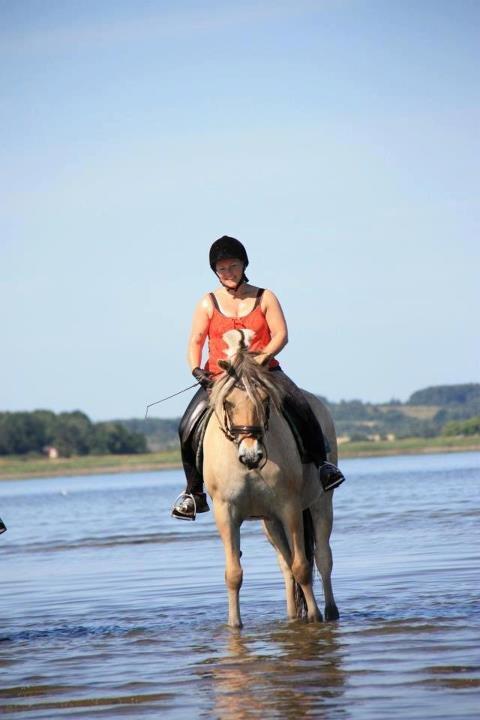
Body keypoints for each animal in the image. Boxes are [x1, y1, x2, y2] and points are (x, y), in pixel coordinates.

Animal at [202, 330, 342, 628]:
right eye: (228, 403)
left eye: (265, 401)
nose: (251, 455)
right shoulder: (226, 512)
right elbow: (234, 573)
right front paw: (234, 626)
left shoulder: (289, 507)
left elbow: (303, 566)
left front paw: (314, 619)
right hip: (270, 522)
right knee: (286, 565)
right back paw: (292, 616)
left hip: (320, 503)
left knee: (323, 558)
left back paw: (330, 613)